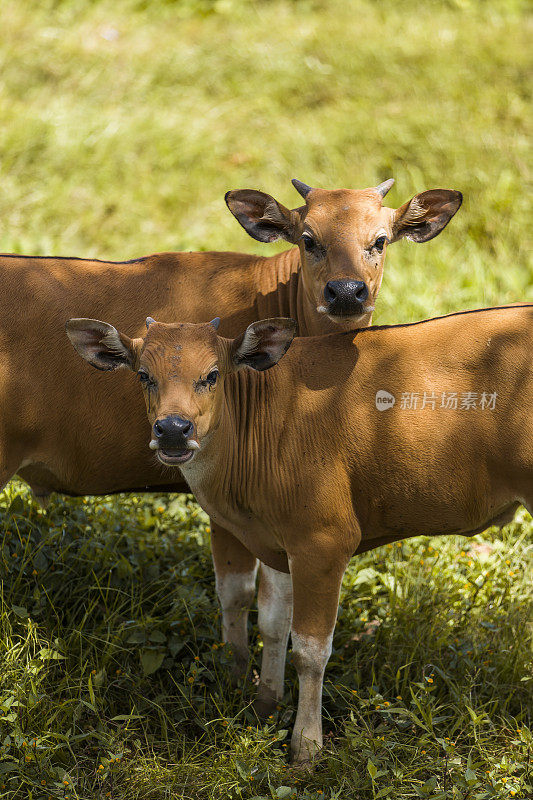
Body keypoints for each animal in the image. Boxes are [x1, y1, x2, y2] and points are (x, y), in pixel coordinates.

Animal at [66, 306, 532, 764]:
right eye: (144, 375)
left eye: (213, 374)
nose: (174, 430)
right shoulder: (277, 541)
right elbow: (273, 623)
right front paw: (265, 704)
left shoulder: (323, 541)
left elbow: (310, 648)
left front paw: (306, 746)